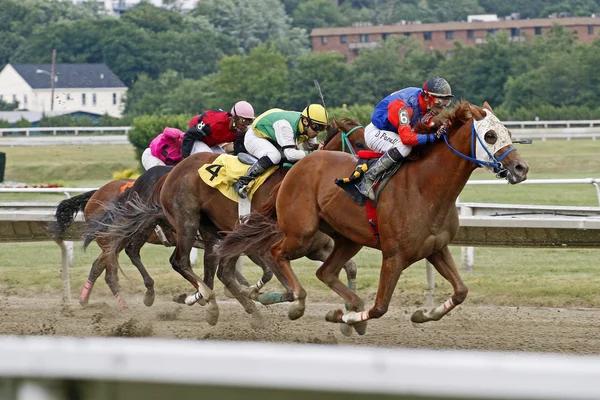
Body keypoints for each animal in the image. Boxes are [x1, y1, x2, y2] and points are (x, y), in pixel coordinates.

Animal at [89, 117, 370, 330]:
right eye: (359, 142)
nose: (369, 169)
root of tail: (170, 173)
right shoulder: (265, 249)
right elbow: (287, 288)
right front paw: (258, 296)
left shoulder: (318, 247)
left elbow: (351, 267)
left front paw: (350, 313)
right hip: (187, 221)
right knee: (176, 261)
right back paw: (207, 303)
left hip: (215, 232)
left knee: (218, 271)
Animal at [217, 102, 528, 334]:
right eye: (490, 136)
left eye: (507, 132)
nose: (521, 168)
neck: (426, 186)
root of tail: (297, 167)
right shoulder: (394, 256)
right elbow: (380, 307)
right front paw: (345, 318)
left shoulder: (436, 248)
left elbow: (461, 290)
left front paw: (421, 314)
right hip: (301, 231)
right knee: (276, 252)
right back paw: (294, 303)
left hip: (347, 238)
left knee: (325, 272)